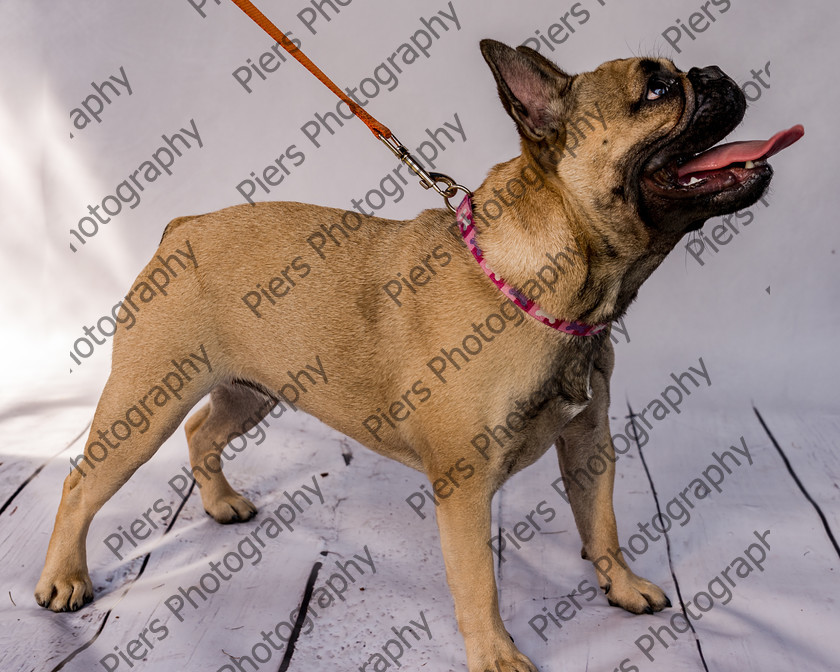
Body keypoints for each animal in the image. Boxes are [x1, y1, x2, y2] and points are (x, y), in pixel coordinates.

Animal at [37, 40, 800, 672]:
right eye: (658, 89)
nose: (713, 73)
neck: (559, 287)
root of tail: (182, 228)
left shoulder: (590, 440)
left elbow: (603, 523)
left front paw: (622, 584)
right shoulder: (464, 485)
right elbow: (478, 582)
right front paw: (496, 655)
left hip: (251, 389)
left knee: (203, 431)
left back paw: (222, 503)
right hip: (147, 404)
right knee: (81, 484)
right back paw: (64, 580)